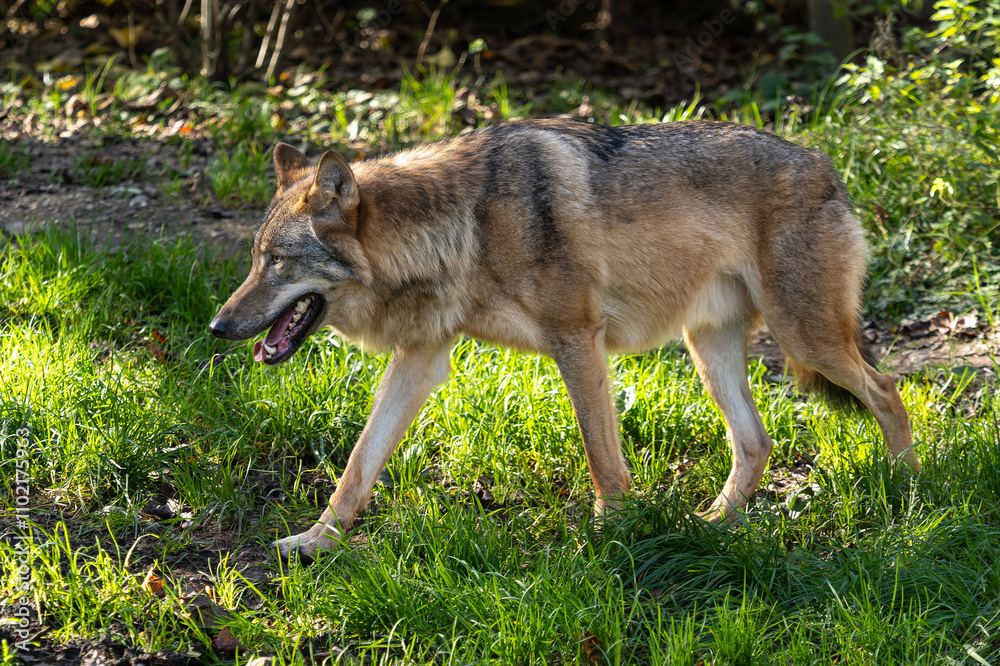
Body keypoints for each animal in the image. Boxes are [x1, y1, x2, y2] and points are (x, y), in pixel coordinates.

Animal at [209, 119, 919, 563]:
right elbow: (358, 466)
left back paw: (910, 494)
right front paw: (315, 542)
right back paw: (711, 525)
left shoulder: (578, 339)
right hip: (710, 349)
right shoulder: (423, 358)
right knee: (756, 441)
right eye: (256, 259)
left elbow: (603, 458)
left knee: (888, 392)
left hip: (805, 337)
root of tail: (827, 165)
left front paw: (611, 537)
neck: (462, 228)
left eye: (276, 262)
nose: (217, 327)